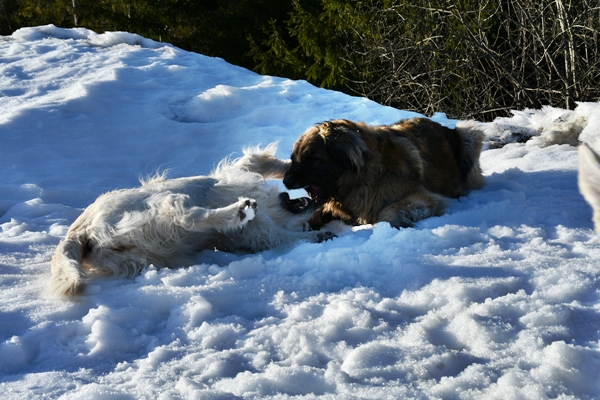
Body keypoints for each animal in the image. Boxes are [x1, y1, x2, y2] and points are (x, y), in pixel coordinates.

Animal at [50, 144, 332, 296]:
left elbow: (283, 236)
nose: (314, 202)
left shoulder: (258, 234)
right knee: (188, 217)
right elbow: (261, 163)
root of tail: (79, 230)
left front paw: (315, 234)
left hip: (142, 252)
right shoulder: (237, 174)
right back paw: (238, 211)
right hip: (162, 202)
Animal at [284, 117, 486, 228]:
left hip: (469, 133)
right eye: (294, 158)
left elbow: (385, 214)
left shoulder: (422, 197)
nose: (285, 181)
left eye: (312, 158)